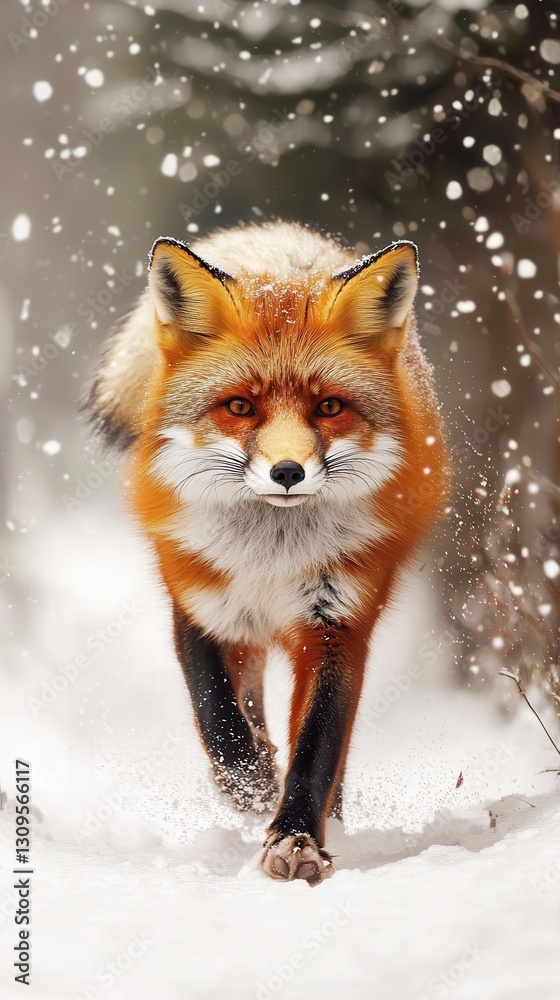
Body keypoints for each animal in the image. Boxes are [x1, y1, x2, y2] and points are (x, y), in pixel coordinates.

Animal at [83, 220, 448, 885]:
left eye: (328, 407)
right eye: (239, 406)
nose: (286, 471)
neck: (270, 559)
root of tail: (289, 248)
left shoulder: (338, 624)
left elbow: (318, 745)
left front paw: (297, 837)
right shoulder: (198, 605)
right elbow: (220, 720)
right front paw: (250, 785)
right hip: (240, 628)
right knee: (246, 704)